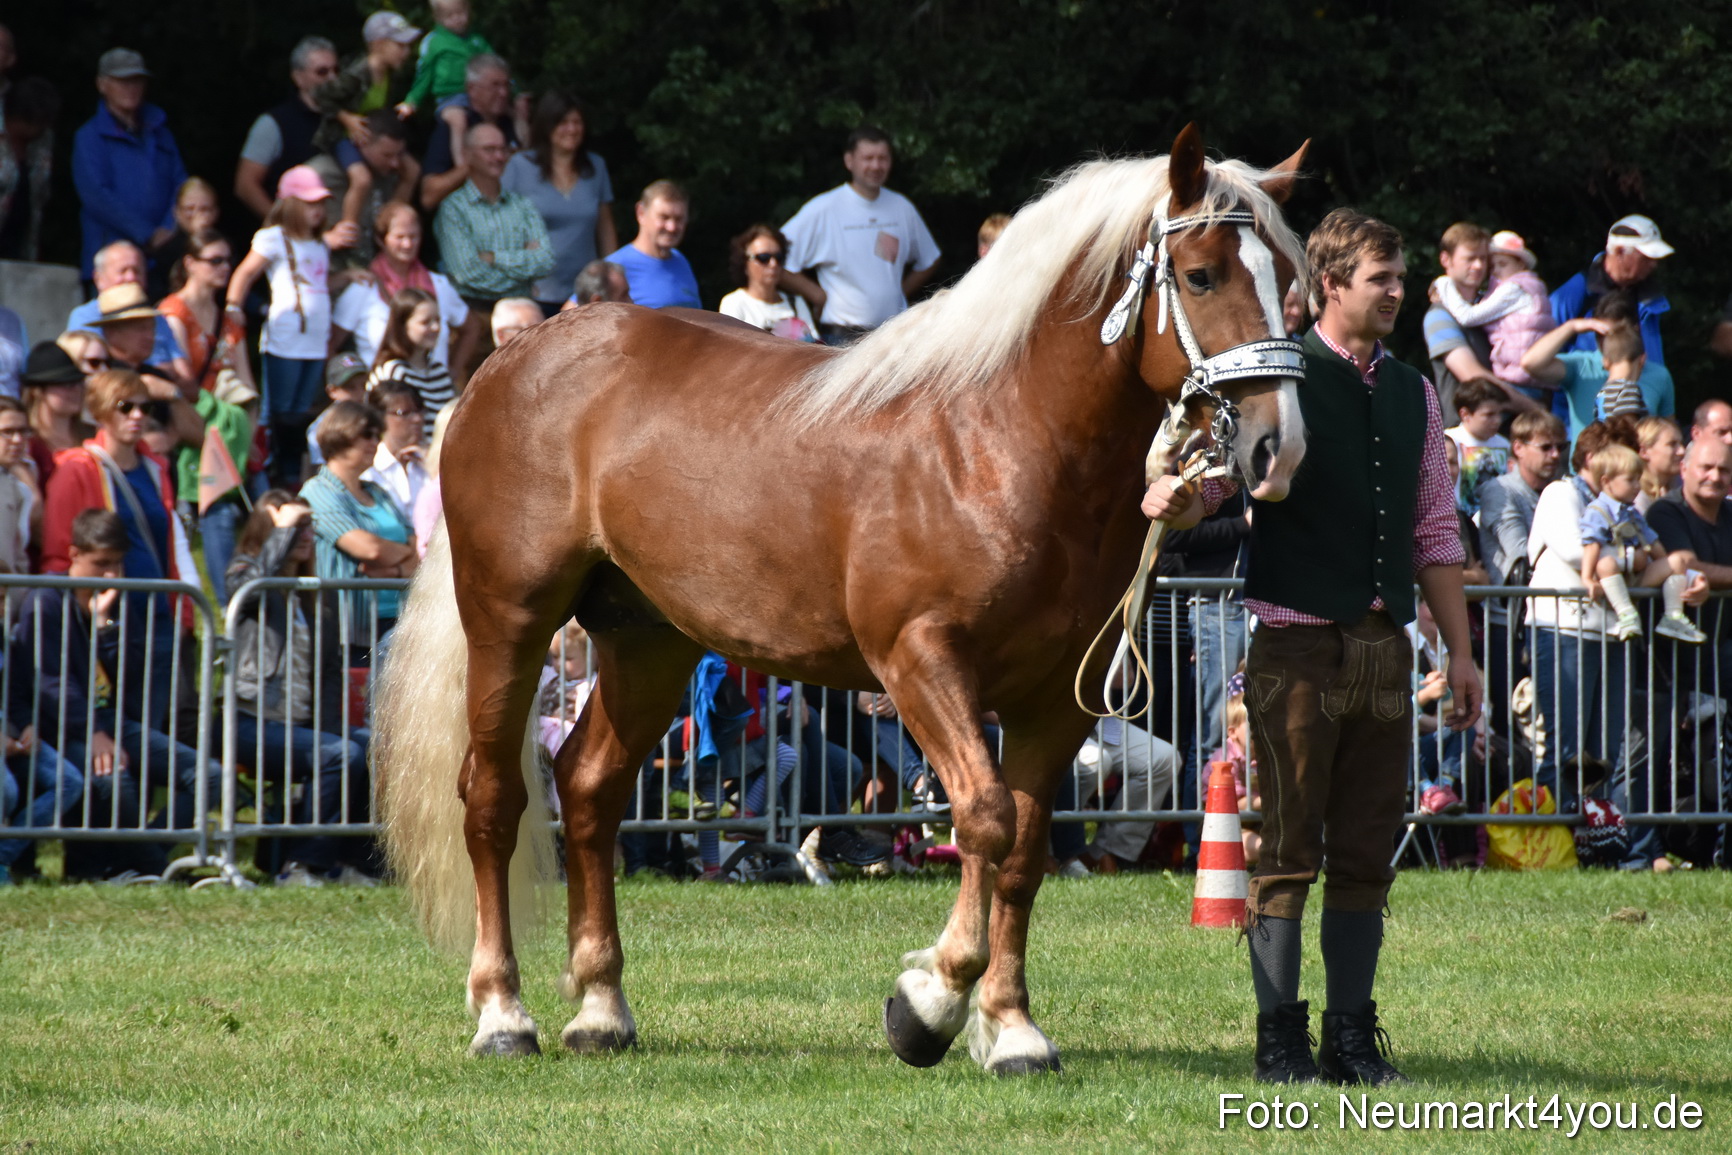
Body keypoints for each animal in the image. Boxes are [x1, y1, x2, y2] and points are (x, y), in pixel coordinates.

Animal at [376, 124, 1310, 1074]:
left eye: (1289, 280)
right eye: (1201, 275)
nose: (1279, 445)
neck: (995, 442)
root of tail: (509, 363)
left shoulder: (1056, 697)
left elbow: (1023, 847)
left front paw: (1010, 1025)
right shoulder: (919, 661)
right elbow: (984, 818)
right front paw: (929, 1002)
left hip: (648, 640)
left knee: (590, 784)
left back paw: (601, 1006)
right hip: (511, 619)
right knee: (494, 797)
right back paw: (503, 1011)